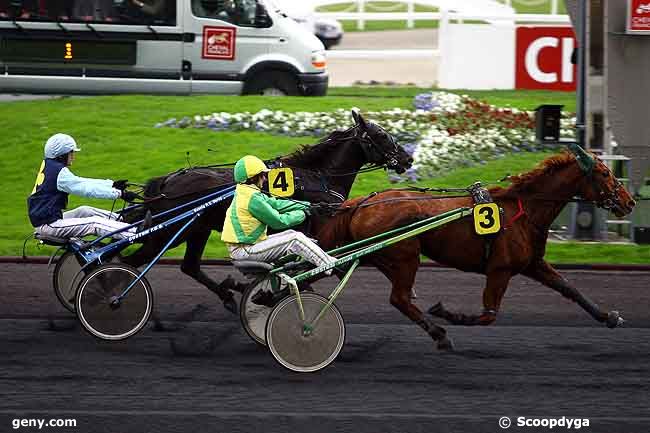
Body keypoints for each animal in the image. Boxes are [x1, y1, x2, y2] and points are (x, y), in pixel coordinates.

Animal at [120, 110, 410, 314]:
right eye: (382, 135)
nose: (407, 159)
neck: (318, 177)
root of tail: (166, 183)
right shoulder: (321, 229)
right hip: (171, 233)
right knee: (131, 262)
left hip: (196, 231)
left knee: (189, 266)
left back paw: (227, 295)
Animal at [314, 147, 632, 350]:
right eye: (605, 173)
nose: (629, 202)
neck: (523, 210)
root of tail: (363, 202)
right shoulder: (500, 269)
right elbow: (488, 314)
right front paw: (448, 314)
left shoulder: (532, 264)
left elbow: (569, 288)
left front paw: (608, 316)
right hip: (406, 256)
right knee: (399, 298)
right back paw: (439, 334)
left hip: (387, 257)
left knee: (400, 297)